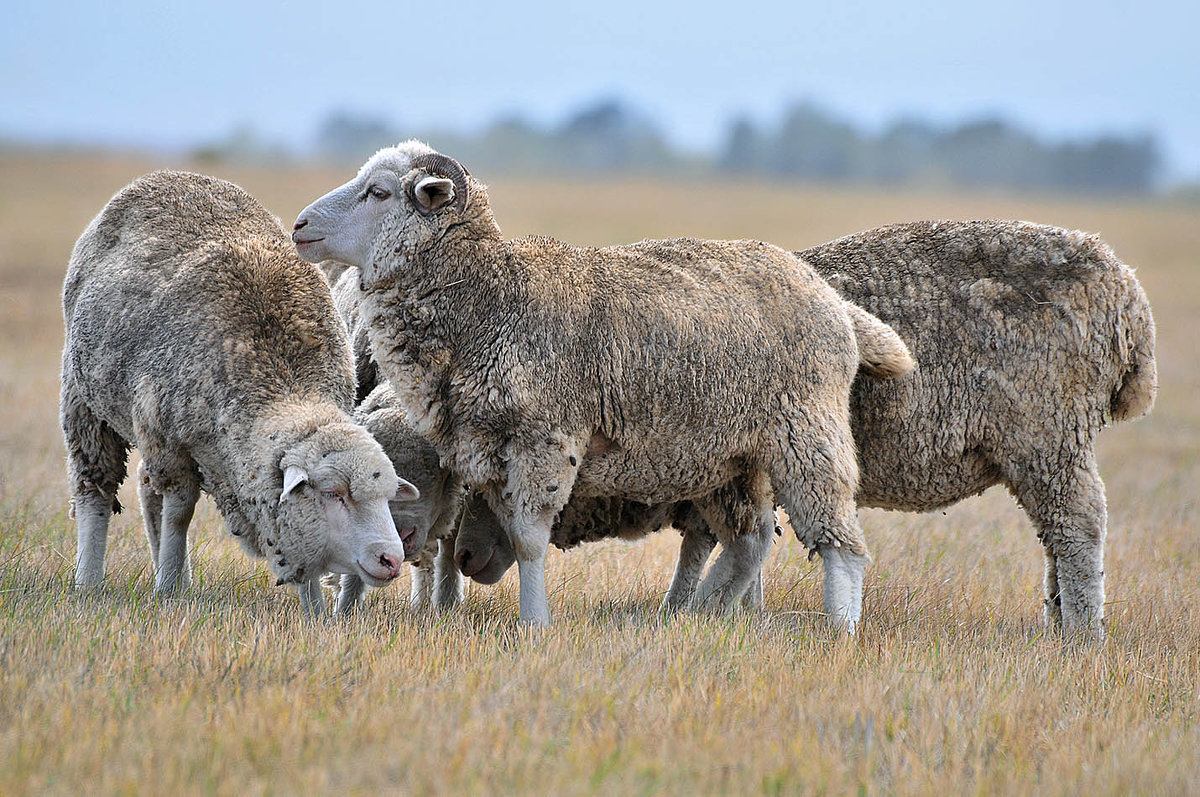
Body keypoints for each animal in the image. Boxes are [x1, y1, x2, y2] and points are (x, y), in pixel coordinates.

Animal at [60, 169, 420, 614]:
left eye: (388, 496)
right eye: (333, 493)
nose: (391, 559)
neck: (282, 381)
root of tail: (166, 176)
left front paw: (316, 612)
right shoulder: (171, 443)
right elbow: (180, 513)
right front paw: (166, 588)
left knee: (145, 486)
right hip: (84, 400)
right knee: (96, 486)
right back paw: (90, 580)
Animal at [288, 143, 907, 628]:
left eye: (379, 192)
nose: (299, 226)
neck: (493, 301)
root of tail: (830, 297)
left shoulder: (546, 440)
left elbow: (528, 540)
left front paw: (535, 624)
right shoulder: (491, 450)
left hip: (806, 430)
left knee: (840, 541)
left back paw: (839, 629)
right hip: (728, 453)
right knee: (748, 541)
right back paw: (694, 615)